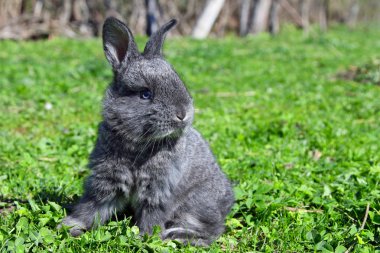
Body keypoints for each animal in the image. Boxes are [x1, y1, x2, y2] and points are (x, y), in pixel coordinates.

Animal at [61, 16, 235, 246]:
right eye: (145, 94)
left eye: (180, 82)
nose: (183, 114)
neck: (138, 144)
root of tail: (228, 201)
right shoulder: (106, 182)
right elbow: (91, 207)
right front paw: (70, 226)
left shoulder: (159, 190)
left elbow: (152, 216)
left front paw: (145, 238)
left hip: (197, 204)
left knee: (211, 230)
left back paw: (178, 235)